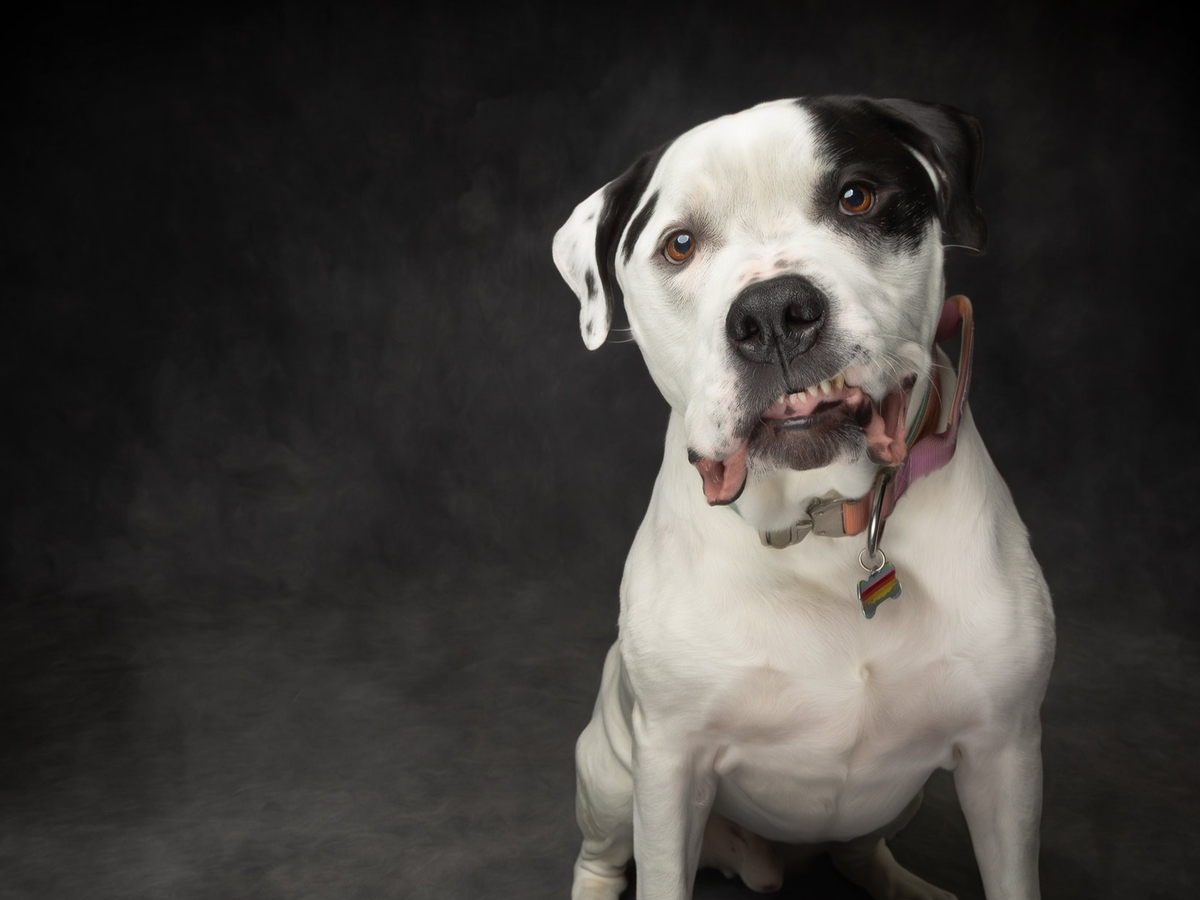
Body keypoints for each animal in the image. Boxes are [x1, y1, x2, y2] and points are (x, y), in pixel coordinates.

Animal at [552, 97, 1055, 900]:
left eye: (856, 197)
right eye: (679, 245)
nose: (772, 310)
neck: (822, 522)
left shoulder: (1003, 756)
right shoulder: (669, 770)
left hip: (901, 800)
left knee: (858, 851)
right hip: (608, 774)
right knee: (598, 856)